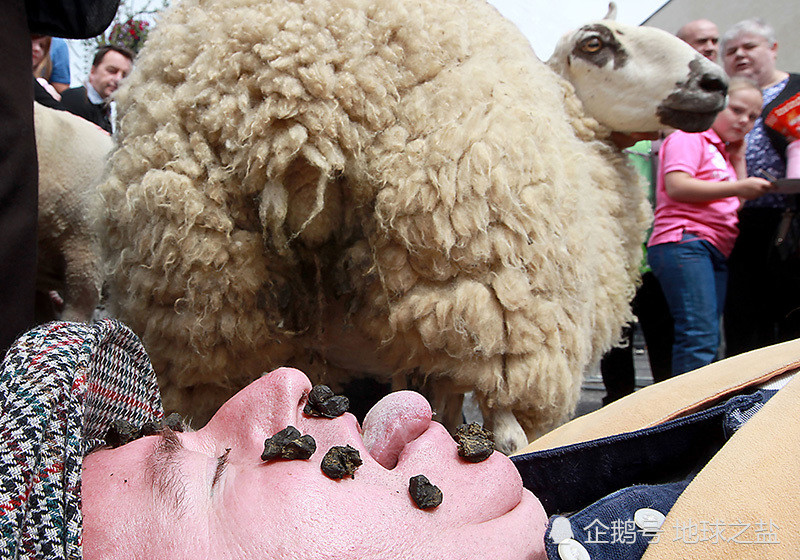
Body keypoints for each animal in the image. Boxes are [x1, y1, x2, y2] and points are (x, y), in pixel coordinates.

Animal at [98, 0, 724, 450]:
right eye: (595, 45)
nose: (714, 82)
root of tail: (295, 92)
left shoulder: (412, 338)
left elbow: (425, 403)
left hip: (200, 291)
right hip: (492, 284)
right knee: (509, 434)